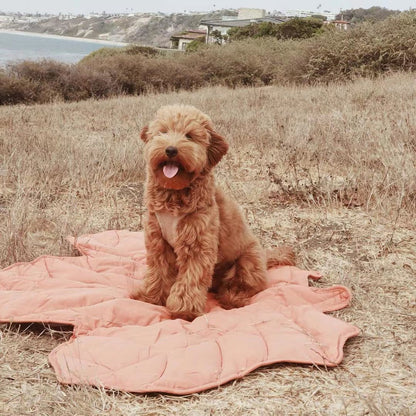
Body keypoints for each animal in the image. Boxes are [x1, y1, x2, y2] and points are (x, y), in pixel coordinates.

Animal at [134, 105, 296, 320]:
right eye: (163, 132)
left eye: (189, 136)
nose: (170, 150)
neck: (175, 194)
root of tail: (265, 256)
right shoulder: (158, 240)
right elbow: (158, 272)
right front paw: (150, 297)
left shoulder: (198, 243)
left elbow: (191, 278)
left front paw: (184, 310)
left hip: (247, 262)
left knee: (244, 287)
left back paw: (232, 299)